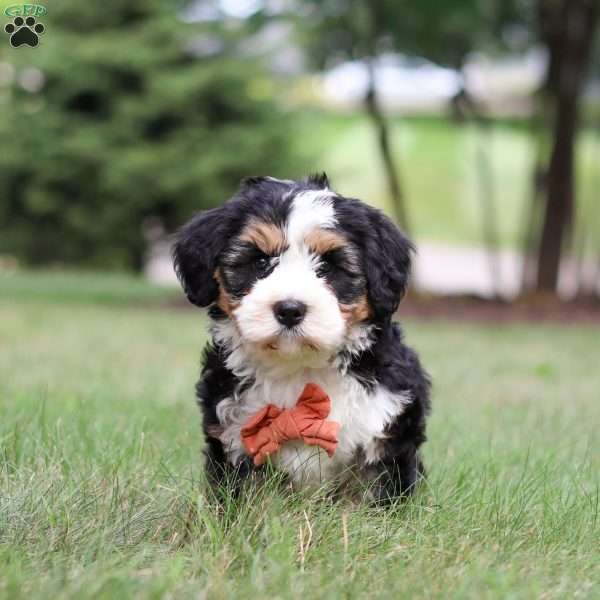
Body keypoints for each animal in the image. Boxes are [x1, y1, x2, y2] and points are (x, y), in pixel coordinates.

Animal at [173, 173, 432, 502]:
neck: (299, 367)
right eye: (260, 262)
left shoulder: (385, 435)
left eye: (327, 266)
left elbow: (374, 500)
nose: (289, 309)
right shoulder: (232, 440)